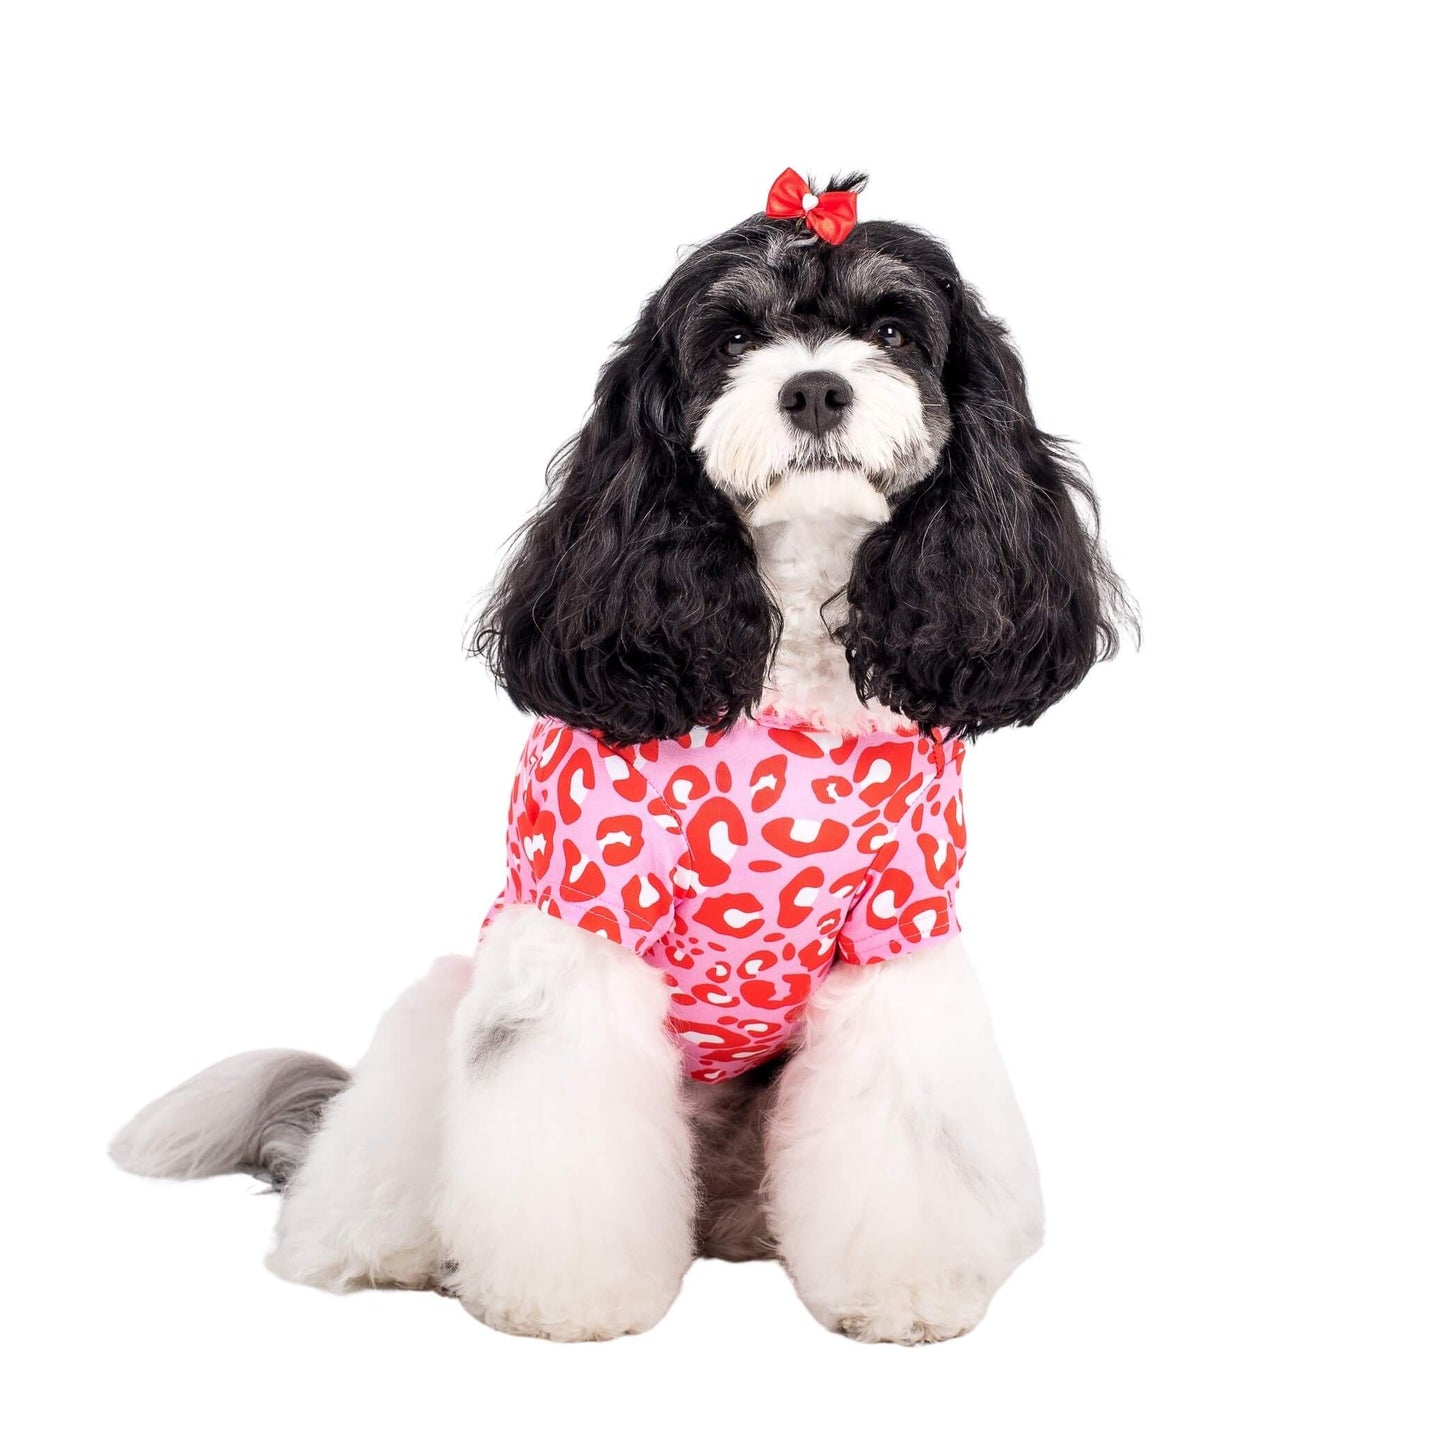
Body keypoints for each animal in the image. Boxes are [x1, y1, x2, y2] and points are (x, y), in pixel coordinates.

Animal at [112, 174, 1127, 1346]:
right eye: (731, 335)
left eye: (890, 330)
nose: (816, 389)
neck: (784, 644)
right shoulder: (580, 920)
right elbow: (564, 1136)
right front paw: (563, 1298)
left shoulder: (894, 932)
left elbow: (909, 1134)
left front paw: (905, 1289)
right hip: (443, 1006)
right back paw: (378, 1246)